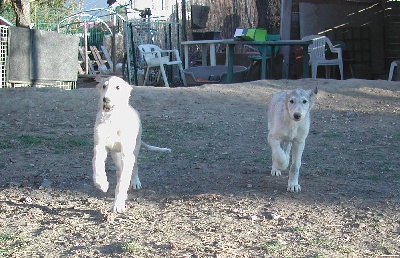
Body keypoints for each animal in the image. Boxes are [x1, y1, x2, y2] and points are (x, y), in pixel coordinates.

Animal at [92, 75, 170, 213]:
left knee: (134, 167)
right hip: (115, 154)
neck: (112, 120)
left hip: (134, 149)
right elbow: (98, 165)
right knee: (119, 170)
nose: (105, 99)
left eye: (117, 87)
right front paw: (101, 183)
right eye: (103, 86)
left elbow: (123, 181)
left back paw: (135, 182)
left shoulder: (127, 154)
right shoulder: (99, 147)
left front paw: (118, 204)